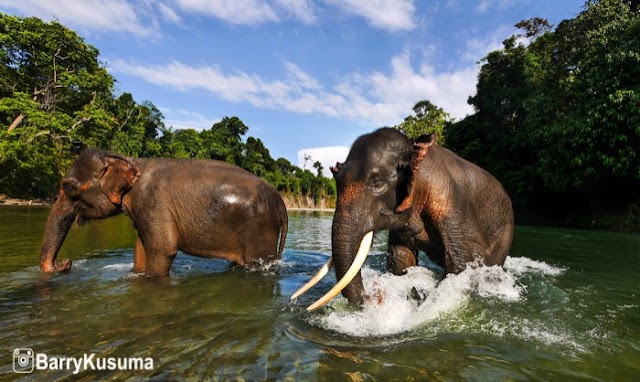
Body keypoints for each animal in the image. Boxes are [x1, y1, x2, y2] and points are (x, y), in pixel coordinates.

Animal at [39, 148, 288, 276]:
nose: (66, 263)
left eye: (68, 187)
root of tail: (282, 205)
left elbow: (163, 248)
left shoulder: (152, 200)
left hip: (259, 228)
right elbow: (141, 246)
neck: (131, 161)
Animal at [292, 127, 512, 310]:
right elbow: (401, 259)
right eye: (336, 179)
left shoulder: (453, 211)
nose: (375, 294)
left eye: (377, 183)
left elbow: (461, 264)